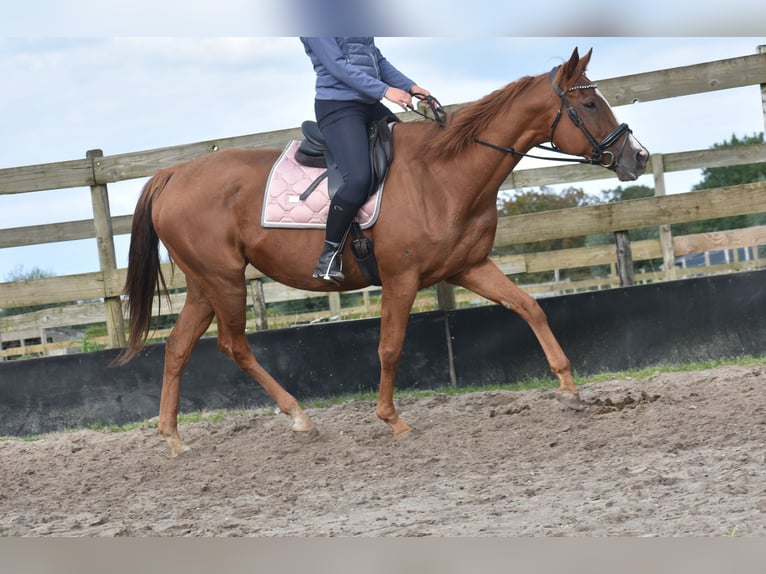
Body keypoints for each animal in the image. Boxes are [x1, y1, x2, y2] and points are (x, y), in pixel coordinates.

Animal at [117, 47, 652, 456]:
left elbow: (529, 308)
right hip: (224, 280)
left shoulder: (469, 267)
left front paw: (568, 388)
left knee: (178, 347)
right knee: (233, 345)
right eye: (589, 105)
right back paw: (297, 416)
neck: (443, 174)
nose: (639, 157)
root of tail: (173, 173)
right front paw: (392, 420)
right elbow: (390, 347)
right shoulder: (401, 279)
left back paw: (175, 438)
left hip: (205, 284)